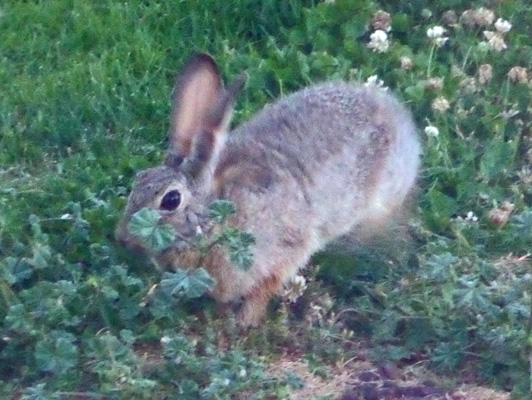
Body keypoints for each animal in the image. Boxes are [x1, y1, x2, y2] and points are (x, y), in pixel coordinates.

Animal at [116, 54, 420, 328]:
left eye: (171, 200)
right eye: (138, 179)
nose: (122, 239)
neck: (215, 216)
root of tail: (396, 115)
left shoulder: (284, 252)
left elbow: (264, 289)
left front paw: (243, 323)